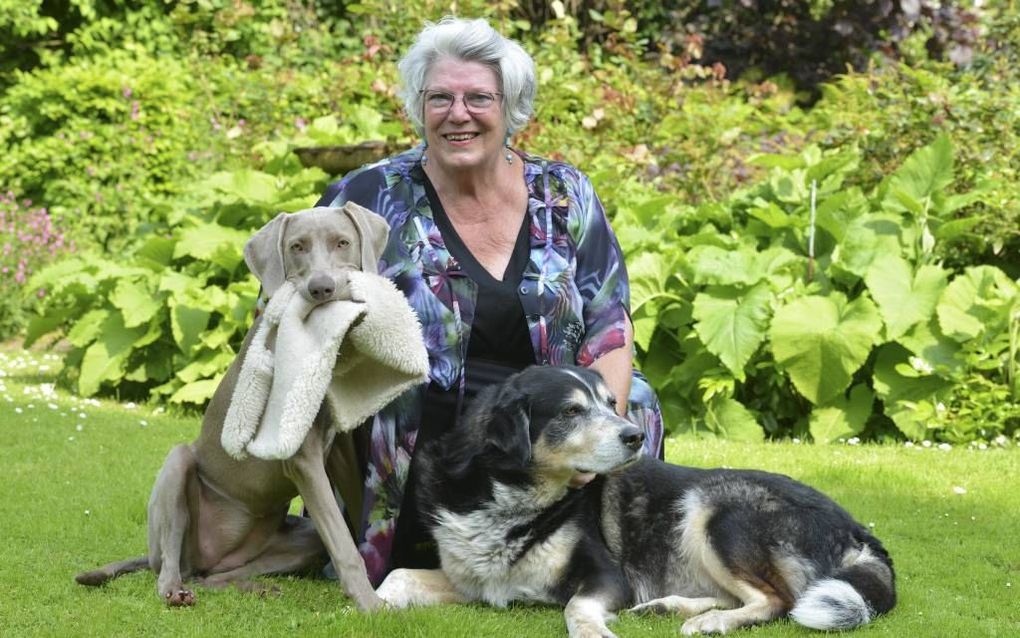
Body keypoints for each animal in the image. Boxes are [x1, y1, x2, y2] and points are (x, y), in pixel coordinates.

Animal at [379, 365, 897, 632]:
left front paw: (593, 630)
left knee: (780, 601)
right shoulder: (473, 581)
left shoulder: (607, 577)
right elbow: (396, 577)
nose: (634, 437)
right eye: (571, 411)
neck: (511, 498)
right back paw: (667, 608)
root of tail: (859, 531)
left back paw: (708, 623)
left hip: (714, 512)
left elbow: (576, 609)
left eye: (611, 404)